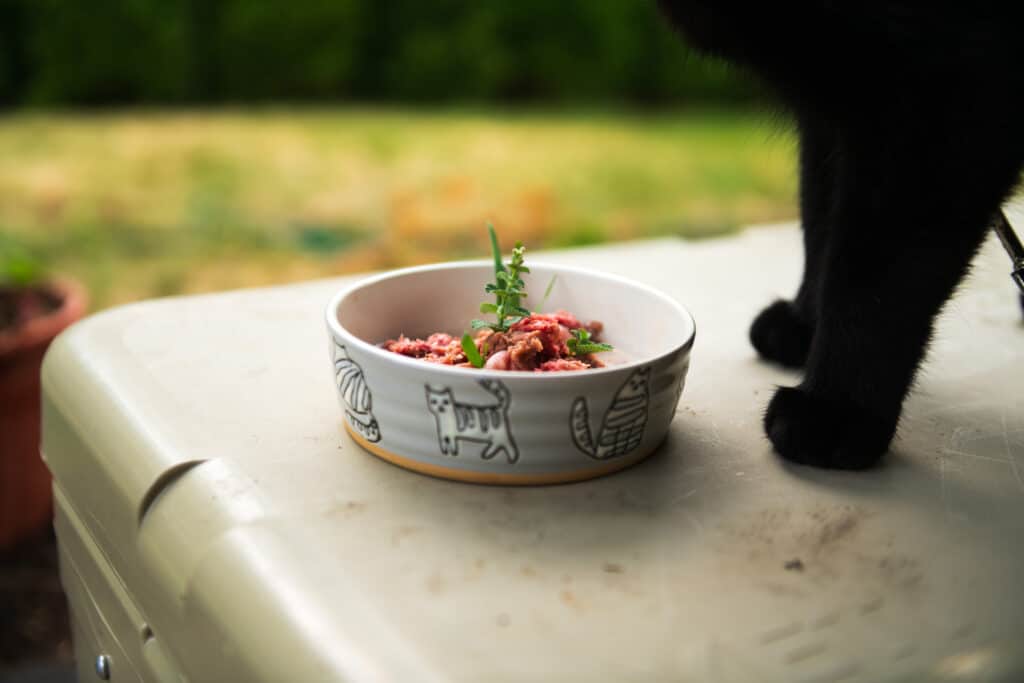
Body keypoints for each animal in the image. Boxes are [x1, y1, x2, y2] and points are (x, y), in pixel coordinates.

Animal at [655, 1, 1024, 471]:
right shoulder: (830, 103)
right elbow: (819, 220)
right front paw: (804, 322)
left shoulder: (946, 94)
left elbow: (874, 274)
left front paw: (837, 411)